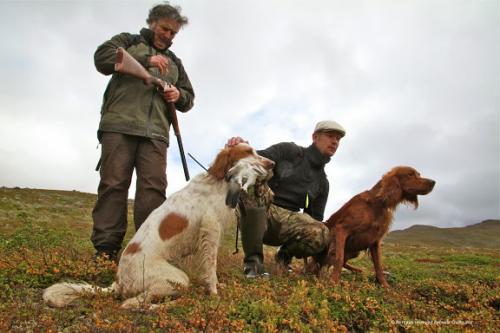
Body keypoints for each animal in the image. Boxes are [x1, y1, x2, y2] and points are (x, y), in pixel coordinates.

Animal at [43, 143, 276, 306]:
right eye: (248, 151)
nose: (272, 164)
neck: (221, 180)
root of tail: (119, 281)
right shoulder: (210, 231)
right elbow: (210, 269)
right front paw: (214, 293)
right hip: (178, 278)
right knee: (132, 304)